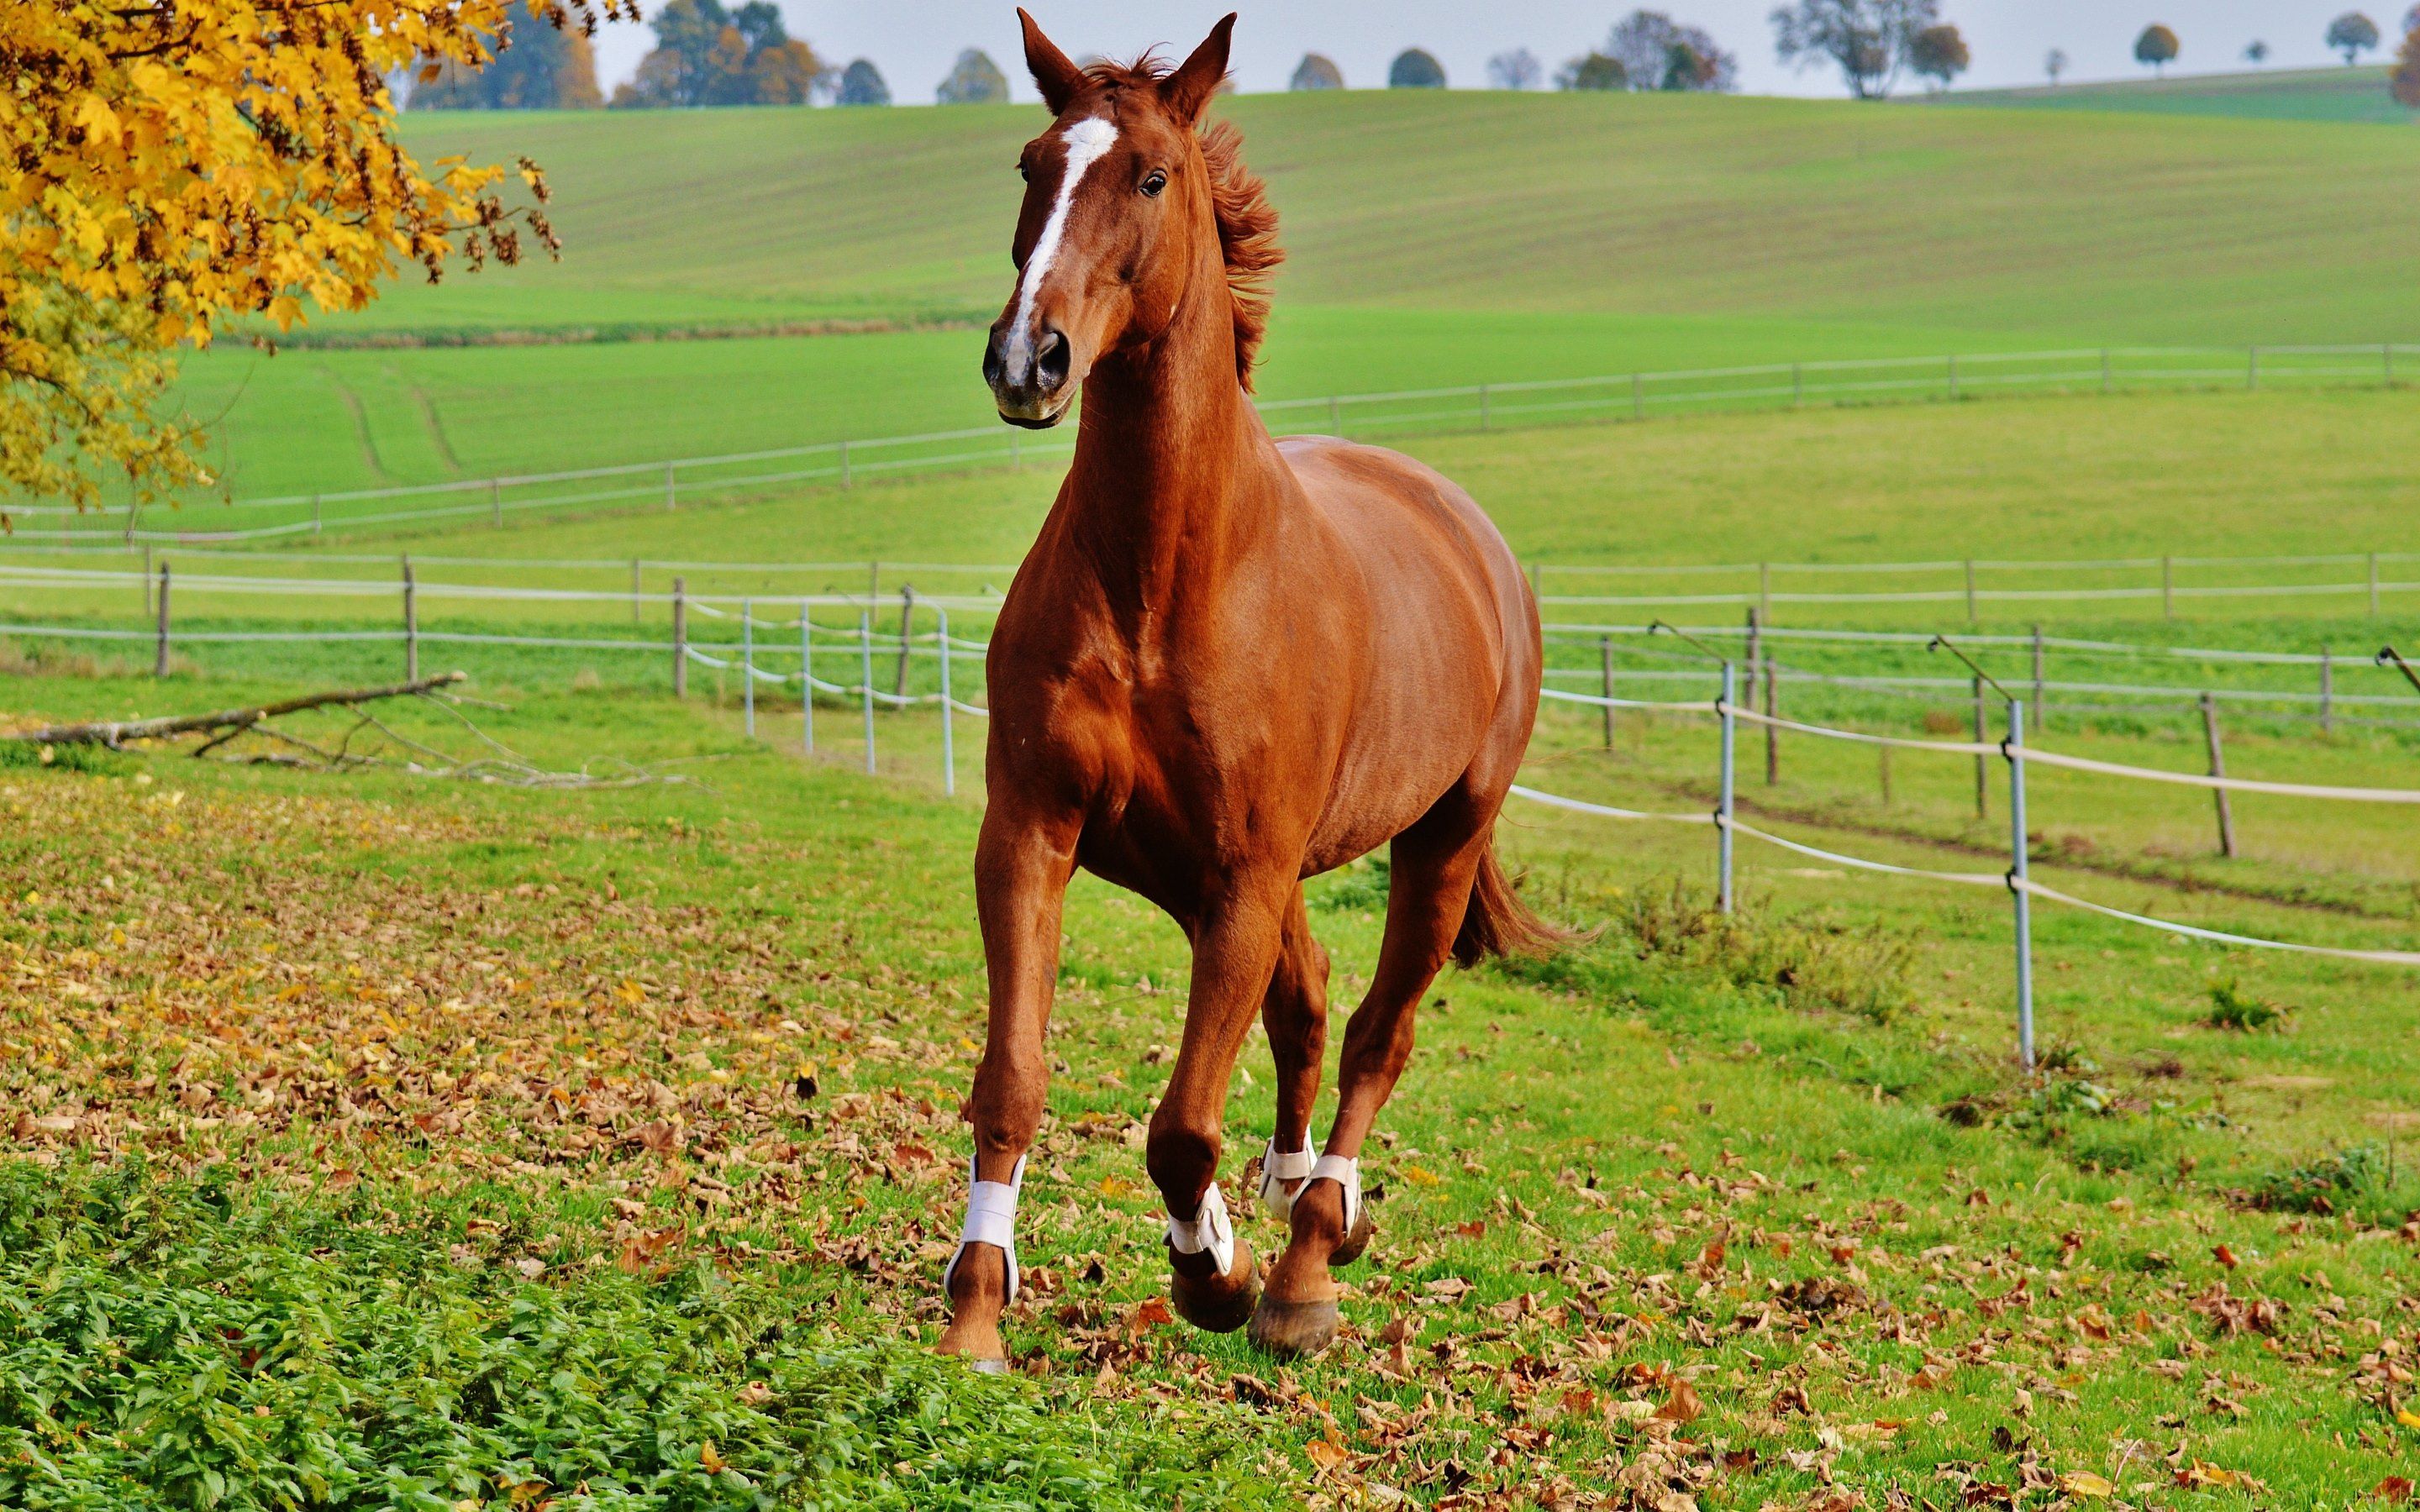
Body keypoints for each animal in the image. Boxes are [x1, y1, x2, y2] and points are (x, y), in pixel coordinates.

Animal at [944, 6, 1549, 1364]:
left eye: (1152, 177)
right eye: (1030, 165)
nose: (1026, 361)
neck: (1163, 582)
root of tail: (1474, 537)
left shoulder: (1243, 876)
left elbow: (1180, 1126)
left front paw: (1213, 1272)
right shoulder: (1036, 834)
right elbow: (1014, 1080)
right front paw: (973, 1311)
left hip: (1435, 844)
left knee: (1377, 1031)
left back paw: (1311, 1254)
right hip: (1206, 875)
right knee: (1310, 1005)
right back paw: (1288, 1195)